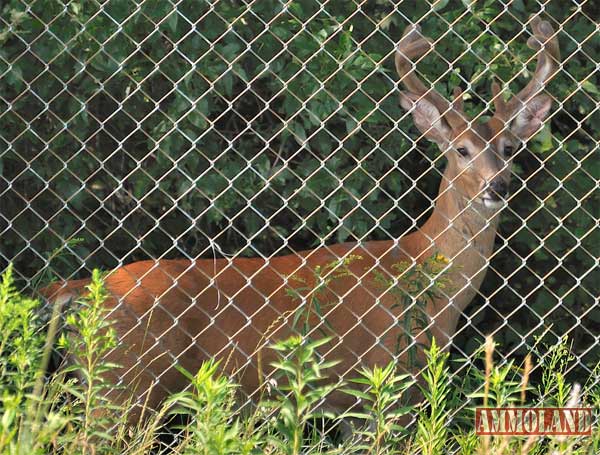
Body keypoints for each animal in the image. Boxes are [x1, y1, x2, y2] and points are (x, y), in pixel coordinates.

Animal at [41, 17, 556, 424]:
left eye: (510, 147)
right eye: (462, 149)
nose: (498, 186)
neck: (427, 280)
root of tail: (80, 292)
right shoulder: (385, 381)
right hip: (127, 385)